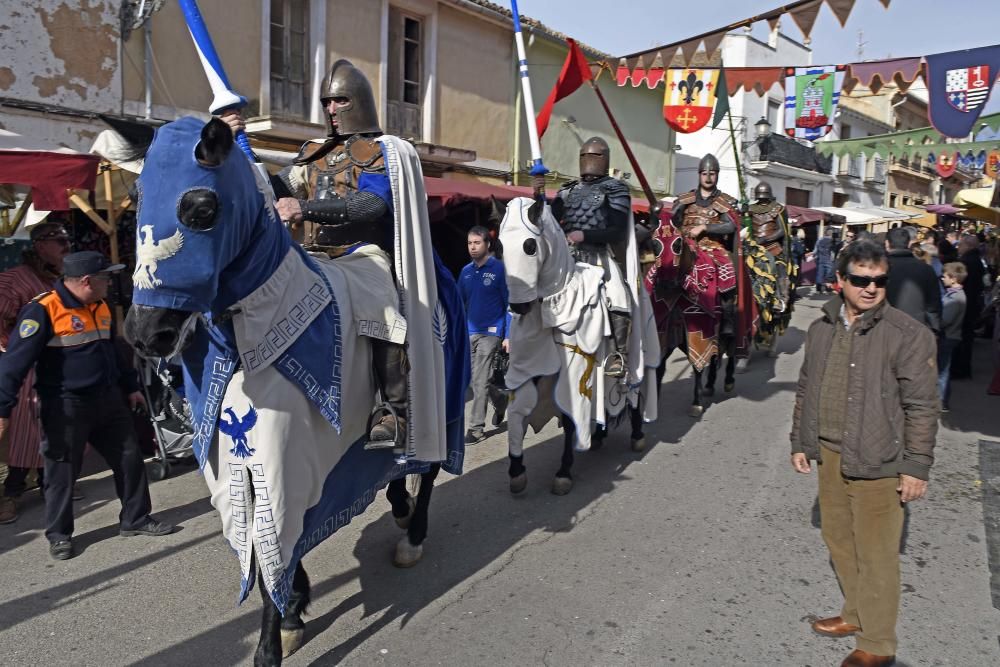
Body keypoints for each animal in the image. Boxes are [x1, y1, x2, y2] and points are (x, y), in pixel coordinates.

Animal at [122, 117, 468, 664]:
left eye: (201, 209)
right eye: (135, 199)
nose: (143, 332)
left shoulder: (281, 460)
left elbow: (272, 552)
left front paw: (272, 640)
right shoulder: (244, 464)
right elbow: (273, 547)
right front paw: (294, 608)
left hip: (442, 403)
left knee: (428, 469)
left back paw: (413, 535)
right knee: (394, 469)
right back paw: (397, 502)